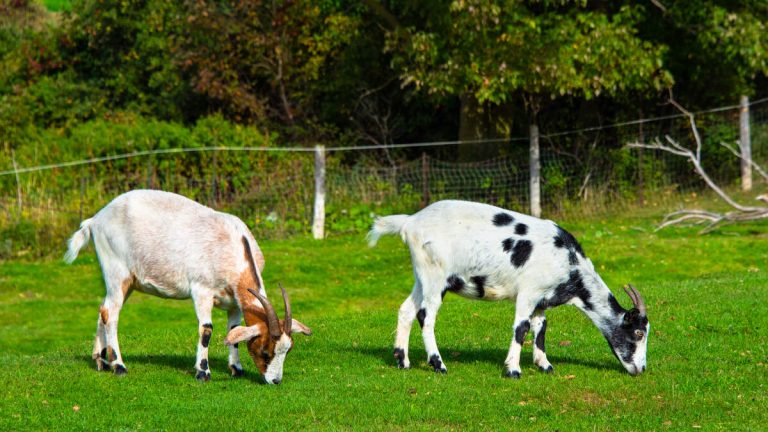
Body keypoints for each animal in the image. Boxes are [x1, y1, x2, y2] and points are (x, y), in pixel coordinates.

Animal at [64, 189, 311, 384]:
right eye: (265, 350)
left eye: (288, 350)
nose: (275, 380)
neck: (234, 248)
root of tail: (95, 220)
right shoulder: (202, 290)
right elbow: (207, 330)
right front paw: (203, 372)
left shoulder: (234, 302)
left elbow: (233, 331)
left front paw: (236, 369)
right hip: (117, 273)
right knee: (111, 314)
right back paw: (119, 366)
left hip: (128, 283)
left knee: (103, 309)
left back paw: (100, 361)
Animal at [368, 200, 649, 378]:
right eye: (638, 333)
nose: (641, 369)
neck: (569, 262)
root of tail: (409, 222)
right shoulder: (528, 292)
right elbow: (521, 328)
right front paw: (513, 370)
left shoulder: (542, 299)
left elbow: (540, 327)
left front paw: (545, 365)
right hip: (436, 275)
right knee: (425, 315)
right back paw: (439, 365)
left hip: (422, 276)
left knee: (406, 309)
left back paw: (403, 361)